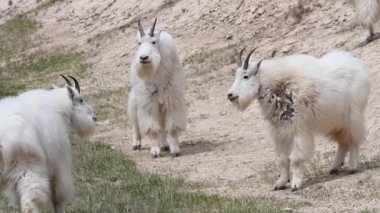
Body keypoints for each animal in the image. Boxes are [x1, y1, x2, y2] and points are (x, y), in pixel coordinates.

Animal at [0, 75, 96, 212]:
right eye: (81, 99)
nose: (94, 116)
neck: (58, 108)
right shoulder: (58, 165)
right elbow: (57, 198)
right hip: (25, 168)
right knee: (30, 203)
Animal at [128, 18, 186, 158]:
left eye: (154, 42)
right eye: (139, 43)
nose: (143, 58)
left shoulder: (171, 99)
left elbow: (172, 127)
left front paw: (175, 150)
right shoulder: (147, 101)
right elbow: (152, 127)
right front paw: (155, 151)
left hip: (161, 106)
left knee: (162, 123)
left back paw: (165, 144)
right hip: (135, 100)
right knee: (135, 122)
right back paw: (136, 143)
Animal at [227, 48, 370, 191]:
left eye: (245, 76)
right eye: (236, 75)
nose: (230, 95)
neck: (279, 87)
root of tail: (357, 65)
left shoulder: (298, 129)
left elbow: (295, 158)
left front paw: (295, 184)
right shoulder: (280, 132)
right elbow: (283, 159)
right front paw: (280, 183)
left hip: (352, 116)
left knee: (353, 140)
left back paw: (353, 167)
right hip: (335, 120)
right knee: (343, 142)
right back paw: (334, 168)